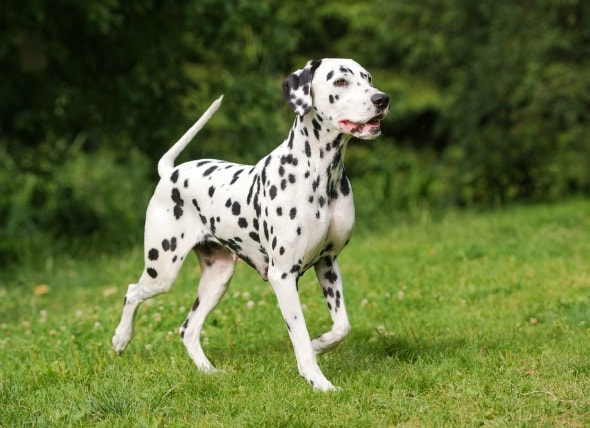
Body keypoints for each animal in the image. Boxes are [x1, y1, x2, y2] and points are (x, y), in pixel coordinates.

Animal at [112, 58, 389, 391]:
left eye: (368, 78)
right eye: (340, 82)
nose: (382, 99)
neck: (321, 175)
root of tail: (170, 172)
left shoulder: (328, 263)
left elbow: (342, 326)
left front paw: (320, 343)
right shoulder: (283, 276)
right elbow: (299, 336)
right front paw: (318, 381)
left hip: (217, 279)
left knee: (188, 329)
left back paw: (208, 371)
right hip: (162, 271)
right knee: (132, 292)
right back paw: (120, 339)